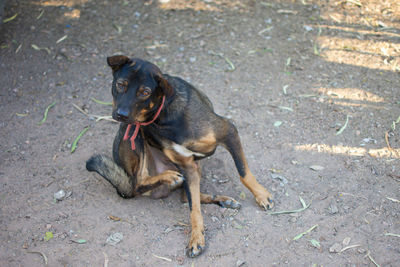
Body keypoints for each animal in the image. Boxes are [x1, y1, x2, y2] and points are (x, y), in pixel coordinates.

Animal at [86, 56, 276, 258]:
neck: (163, 115)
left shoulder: (228, 132)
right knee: (137, 184)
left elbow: (243, 173)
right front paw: (196, 238)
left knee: (184, 196)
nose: (120, 114)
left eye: (145, 92)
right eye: (121, 84)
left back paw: (223, 200)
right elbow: (194, 209)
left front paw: (262, 196)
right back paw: (169, 177)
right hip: (133, 131)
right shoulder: (186, 165)